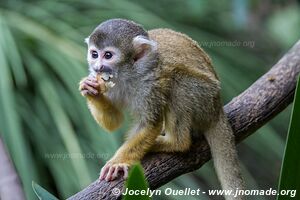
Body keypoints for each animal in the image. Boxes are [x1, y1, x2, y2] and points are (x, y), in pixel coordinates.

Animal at [79, 18, 244, 198]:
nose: (97, 67)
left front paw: (119, 162)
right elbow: (114, 122)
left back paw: (175, 142)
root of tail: (217, 108)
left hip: (205, 98)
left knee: (177, 82)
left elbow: (150, 123)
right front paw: (91, 90)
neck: (127, 74)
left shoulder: (150, 81)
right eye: (94, 54)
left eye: (108, 55)